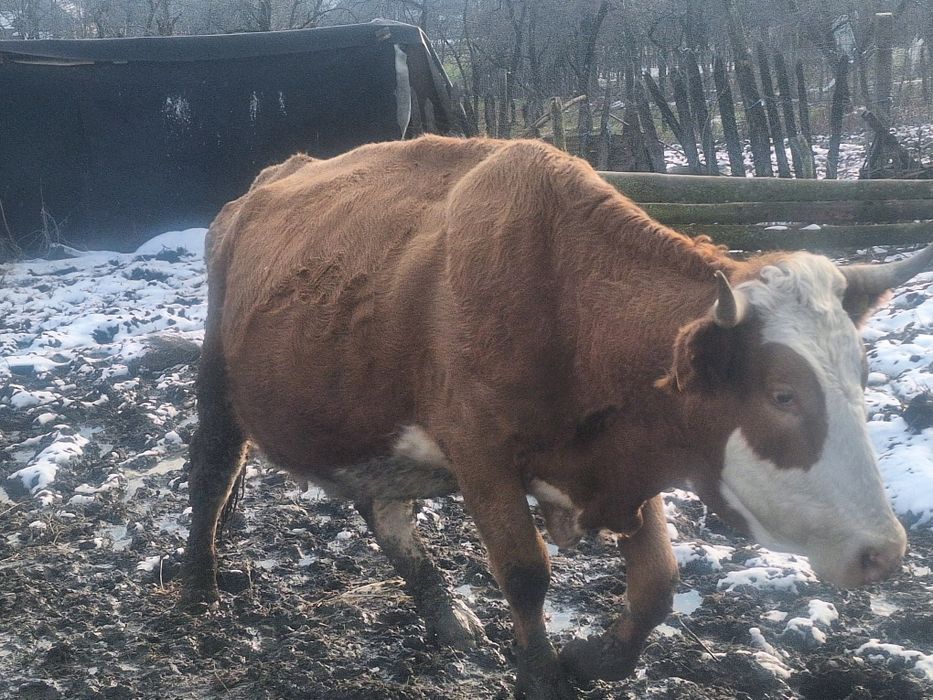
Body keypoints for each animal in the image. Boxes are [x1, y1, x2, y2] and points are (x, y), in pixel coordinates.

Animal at [182, 135, 925, 699]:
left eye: (861, 375)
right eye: (782, 395)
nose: (883, 552)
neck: (569, 306)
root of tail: (271, 178)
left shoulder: (630, 453)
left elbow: (657, 585)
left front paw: (590, 660)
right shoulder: (481, 456)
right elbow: (526, 574)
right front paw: (542, 679)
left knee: (382, 506)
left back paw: (444, 613)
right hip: (219, 375)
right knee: (211, 472)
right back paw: (197, 587)